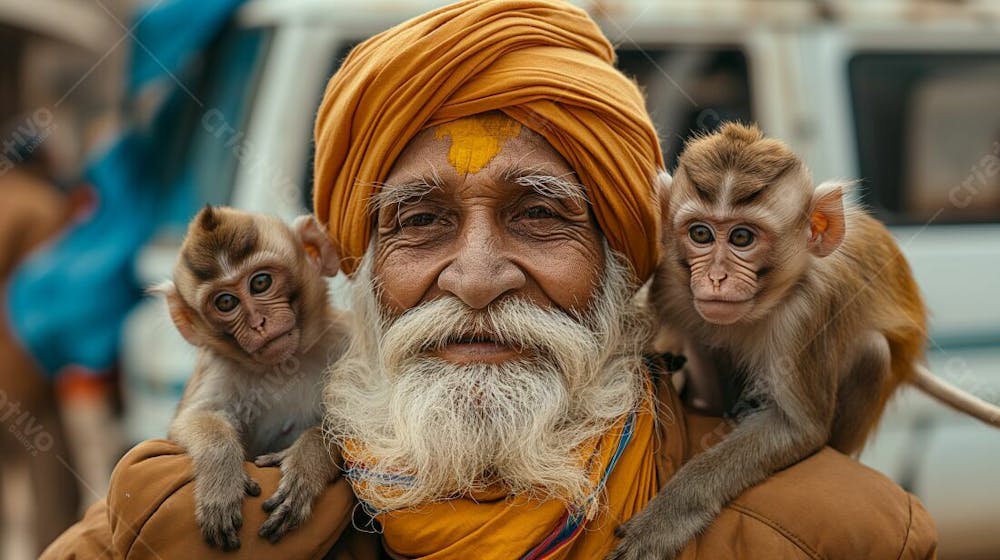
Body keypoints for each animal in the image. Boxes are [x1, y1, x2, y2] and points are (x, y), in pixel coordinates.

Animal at [158, 207, 350, 552]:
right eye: (225, 303)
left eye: (260, 282)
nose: (258, 323)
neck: (285, 363)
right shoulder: (218, 367)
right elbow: (190, 420)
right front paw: (221, 478)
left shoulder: (345, 340)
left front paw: (307, 461)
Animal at [608, 123, 1000, 560]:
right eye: (700, 234)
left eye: (742, 237)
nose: (715, 278)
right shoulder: (672, 285)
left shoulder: (806, 313)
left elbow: (799, 427)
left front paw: (666, 518)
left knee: (872, 350)